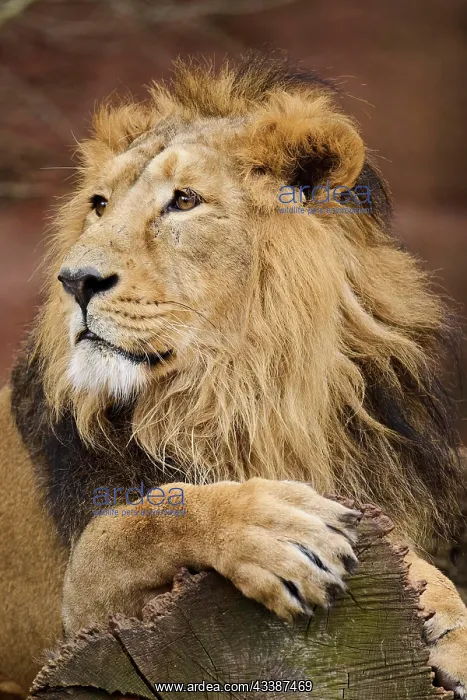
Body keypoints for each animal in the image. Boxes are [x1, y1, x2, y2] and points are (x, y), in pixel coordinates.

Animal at [0, 56, 466, 695]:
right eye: (98, 204)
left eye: (184, 201)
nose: (75, 280)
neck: (240, 393)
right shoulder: (77, 622)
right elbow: (139, 516)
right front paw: (275, 526)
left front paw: (447, 621)